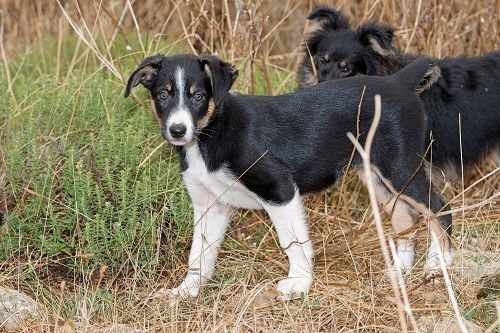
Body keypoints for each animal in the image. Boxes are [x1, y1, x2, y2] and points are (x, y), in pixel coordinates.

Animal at [126, 53, 454, 298]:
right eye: (163, 95)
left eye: (198, 96)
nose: (177, 130)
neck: (211, 135)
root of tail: (397, 81)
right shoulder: (210, 205)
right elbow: (199, 255)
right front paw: (186, 291)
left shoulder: (278, 189)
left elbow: (293, 242)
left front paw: (299, 283)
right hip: (378, 178)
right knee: (406, 218)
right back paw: (400, 270)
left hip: (400, 168)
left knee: (440, 209)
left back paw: (437, 269)